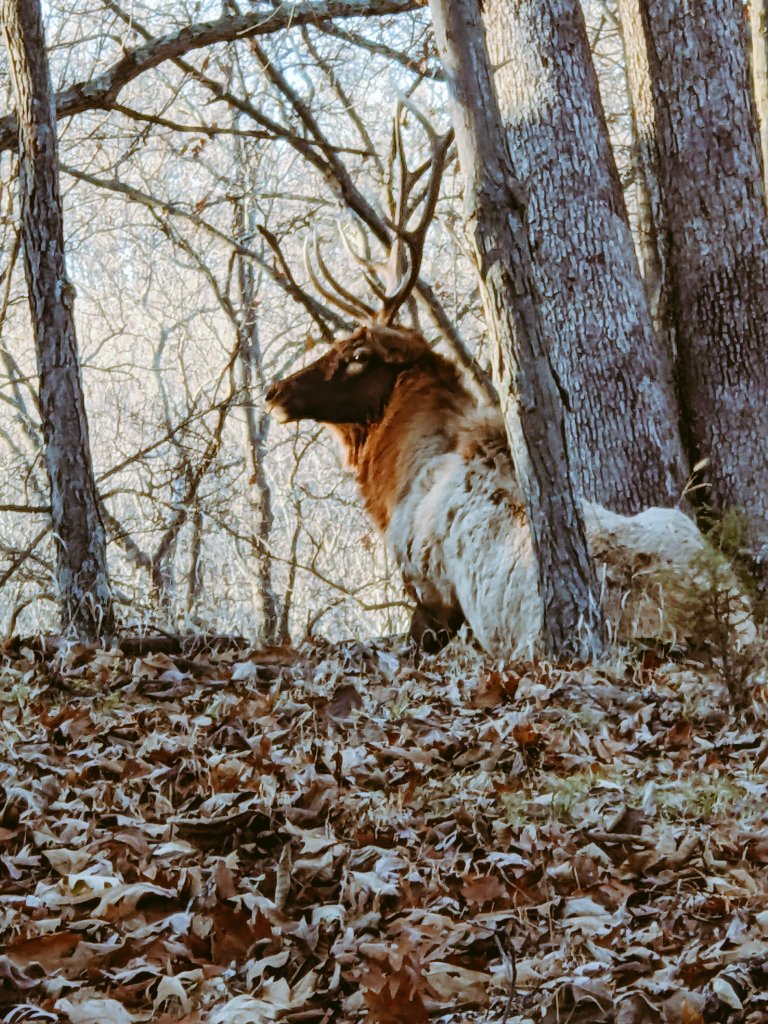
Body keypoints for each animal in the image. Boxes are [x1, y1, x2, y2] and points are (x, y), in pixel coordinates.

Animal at [266, 107, 752, 656]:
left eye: (356, 355)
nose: (275, 392)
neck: (399, 477)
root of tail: (727, 626)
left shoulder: (430, 594)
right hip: (671, 518)